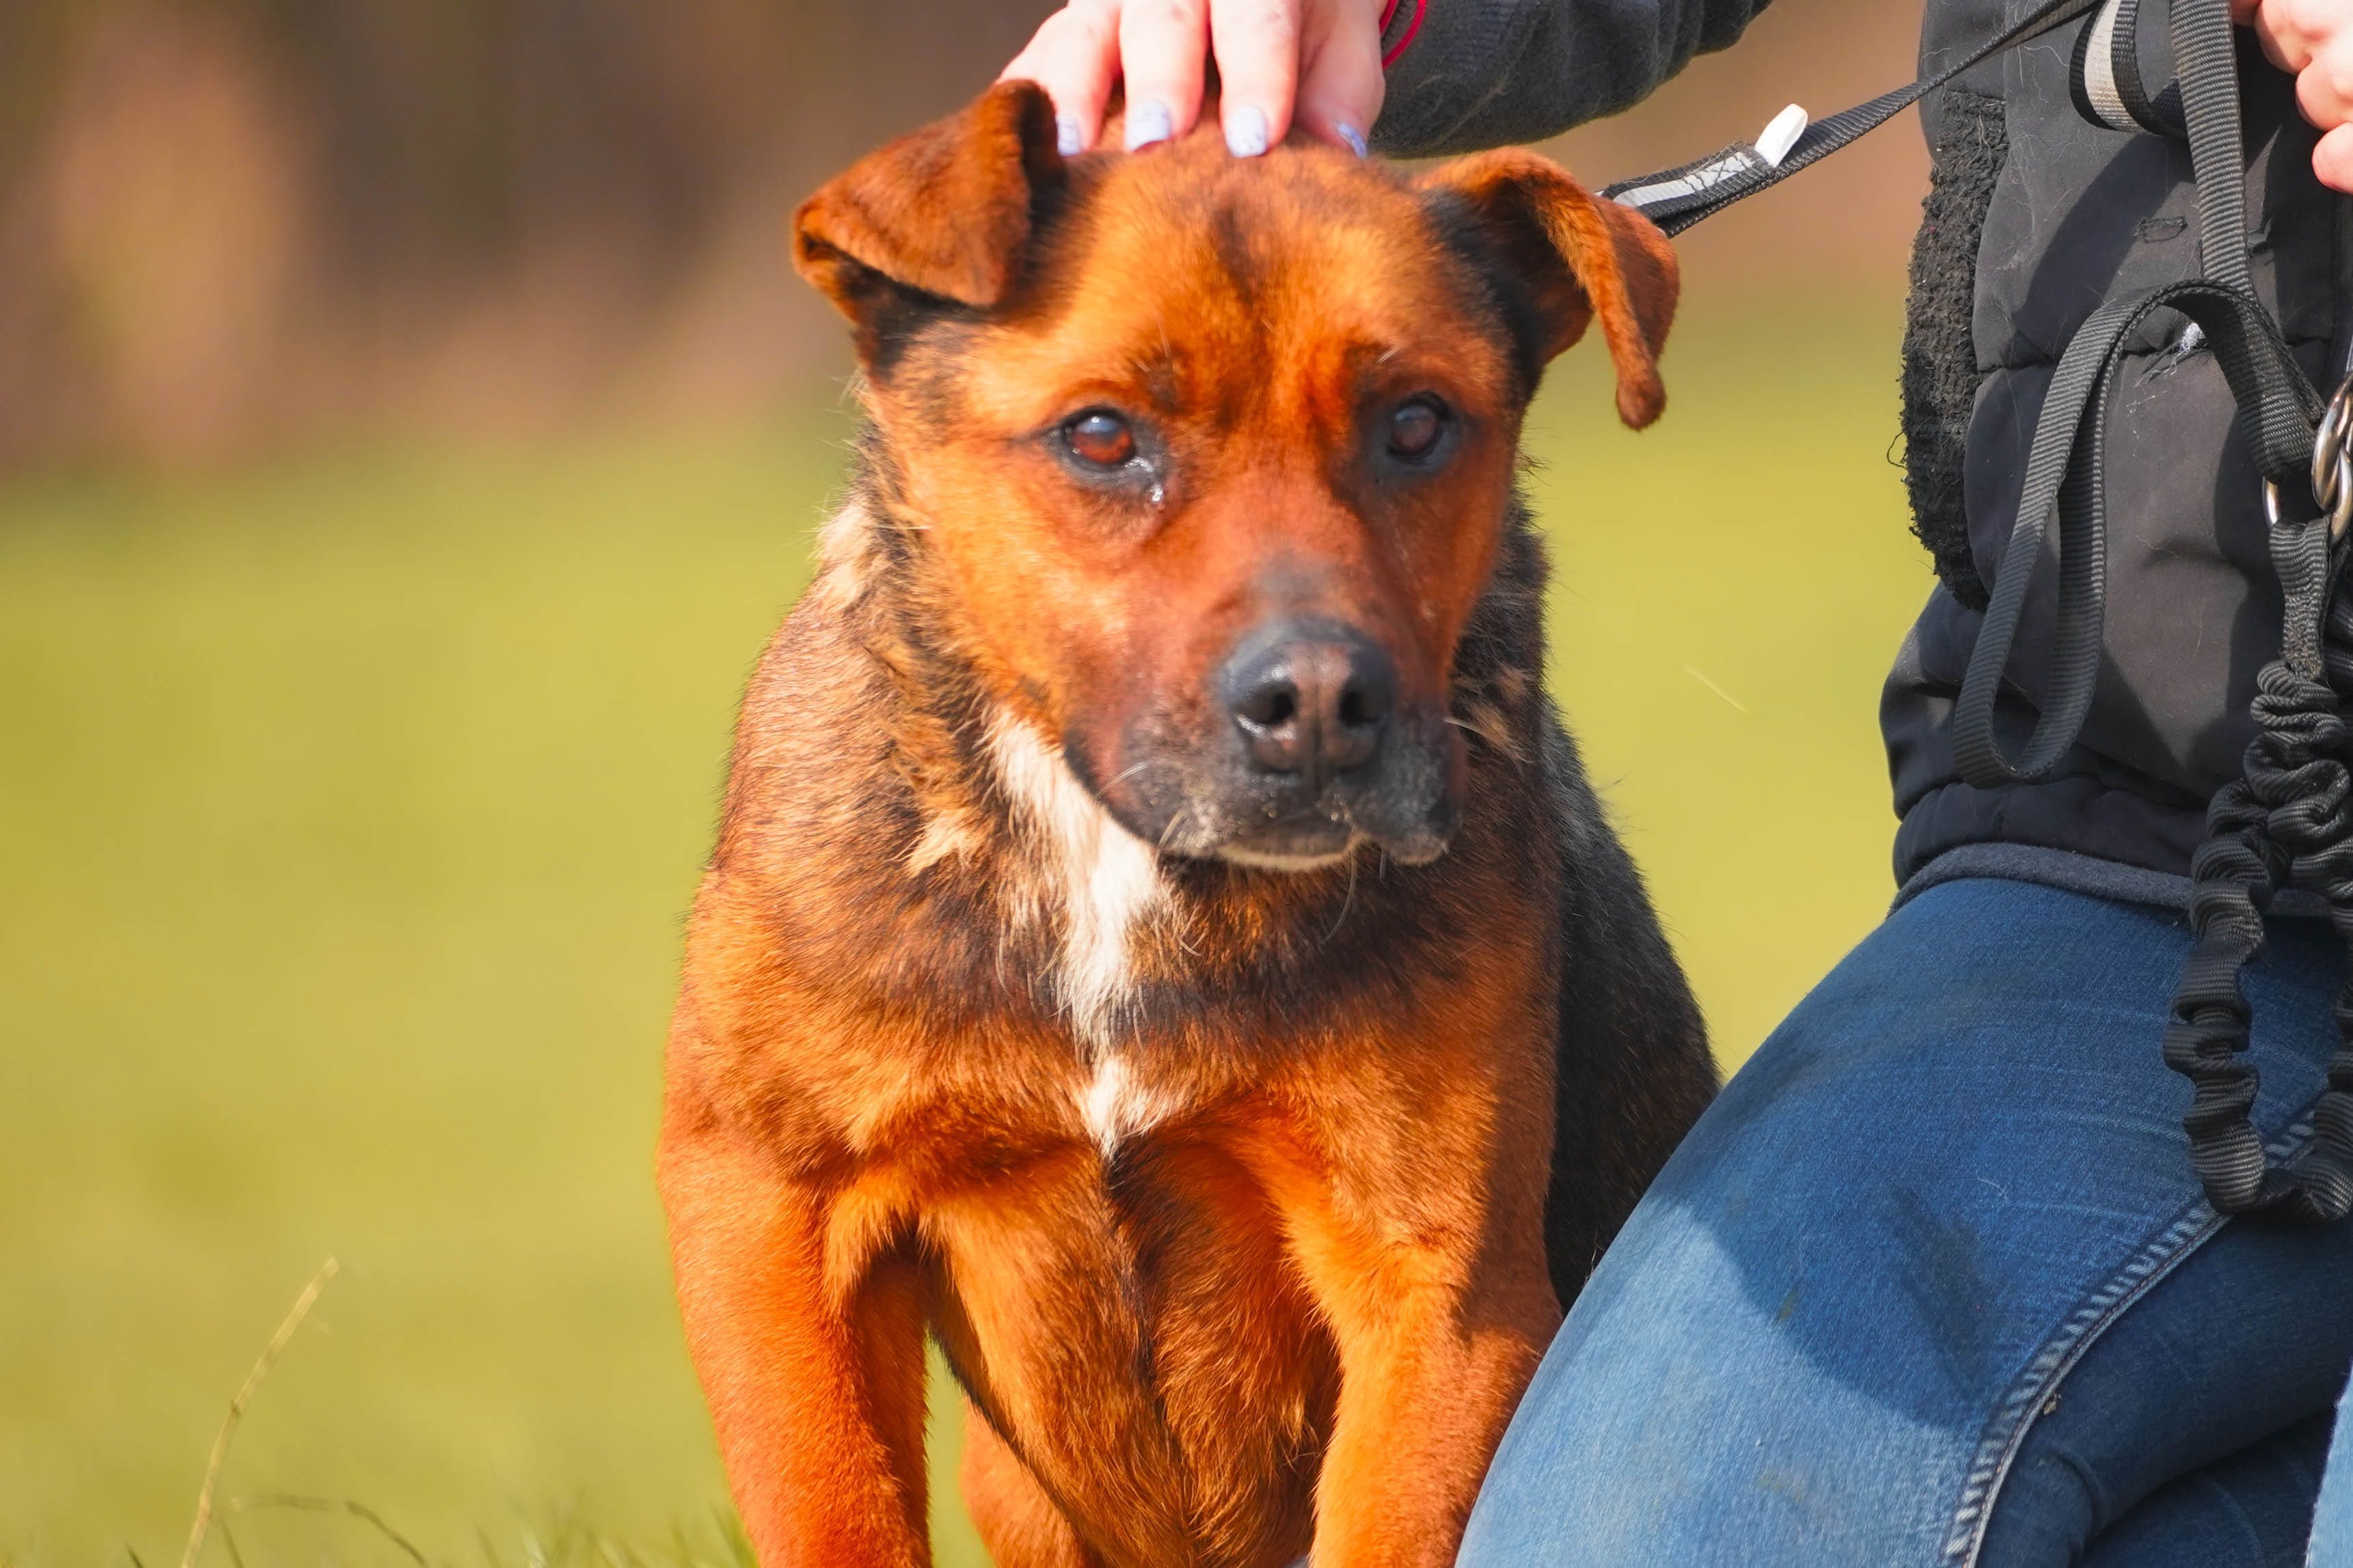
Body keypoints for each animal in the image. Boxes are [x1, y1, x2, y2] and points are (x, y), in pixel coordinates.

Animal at [663, 83, 1713, 1568]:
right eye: (1102, 437)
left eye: (1414, 424)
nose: (1321, 703)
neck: (1115, 864)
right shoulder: (763, 1216)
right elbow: (835, 1509)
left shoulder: (1435, 1296)